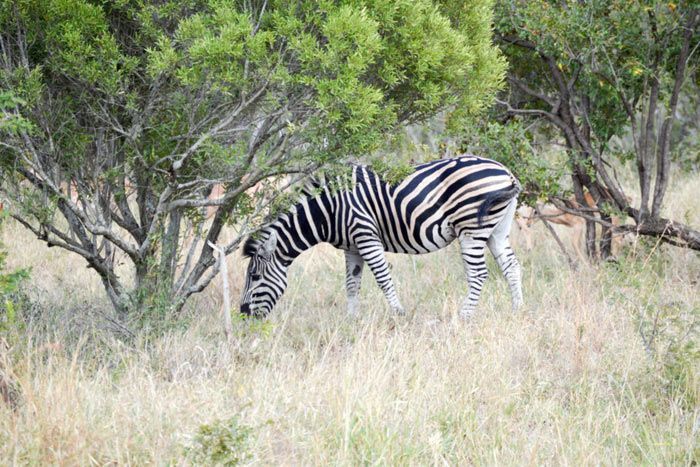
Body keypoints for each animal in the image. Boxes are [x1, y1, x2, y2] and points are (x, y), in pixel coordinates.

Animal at [239, 155, 520, 320]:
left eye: (255, 277)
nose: (243, 315)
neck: (330, 210)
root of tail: (505, 171)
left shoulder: (365, 235)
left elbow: (383, 278)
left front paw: (399, 314)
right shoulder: (351, 247)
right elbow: (351, 284)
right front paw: (351, 321)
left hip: (471, 228)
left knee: (478, 274)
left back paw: (463, 316)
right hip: (496, 229)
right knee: (512, 266)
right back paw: (518, 309)